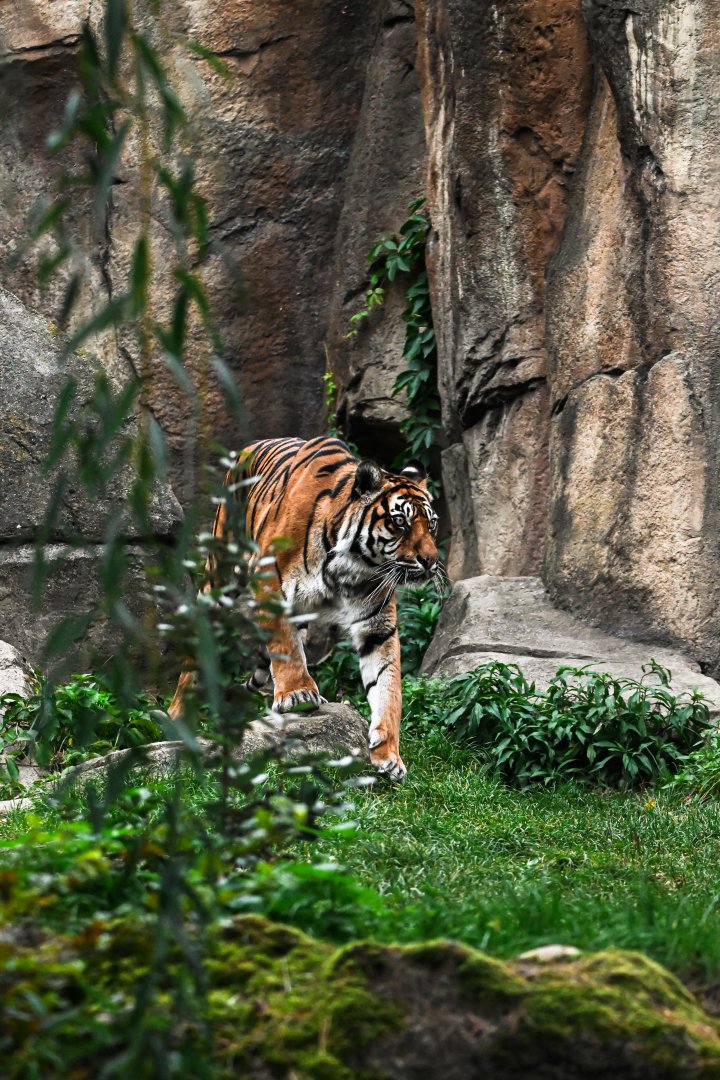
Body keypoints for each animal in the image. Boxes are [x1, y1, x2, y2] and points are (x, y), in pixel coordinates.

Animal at [168, 435, 446, 781]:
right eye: (400, 522)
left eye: (431, 525)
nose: (431, 561)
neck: (353, 564)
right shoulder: (269, 583)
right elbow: (285, 648)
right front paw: (297, 694)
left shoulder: (376, 625)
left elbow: (387, 684)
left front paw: (388, 755)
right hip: (220, 574)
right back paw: (176, 714)